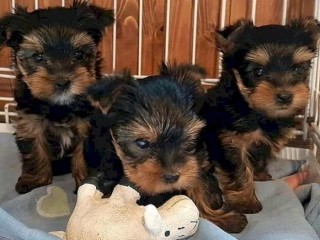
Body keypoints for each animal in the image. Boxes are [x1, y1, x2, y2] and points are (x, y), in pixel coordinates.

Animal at [0, 0, 114, 193]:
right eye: (38, 57)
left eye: (79, 54)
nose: (62, 82)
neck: (60, 106)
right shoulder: (30, 122)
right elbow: (35, 150)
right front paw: (35, 180)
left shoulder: (88, 125)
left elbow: (84, 154)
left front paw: (86, 182)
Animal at [85, 62, 248, 233]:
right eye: (142, 143)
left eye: (188, 138)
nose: (172, 177)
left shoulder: (194, 163)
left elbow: (198, 186)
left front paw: (221, 218)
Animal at [200, 17, 320, 214]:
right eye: (257, 72)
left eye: (297, 69)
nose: (285, 96)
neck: (255, 111)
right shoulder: (229, 141)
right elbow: (239, 170)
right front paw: (246, 202)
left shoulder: (265, 141)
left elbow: (260, 157)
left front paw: (261, 175)